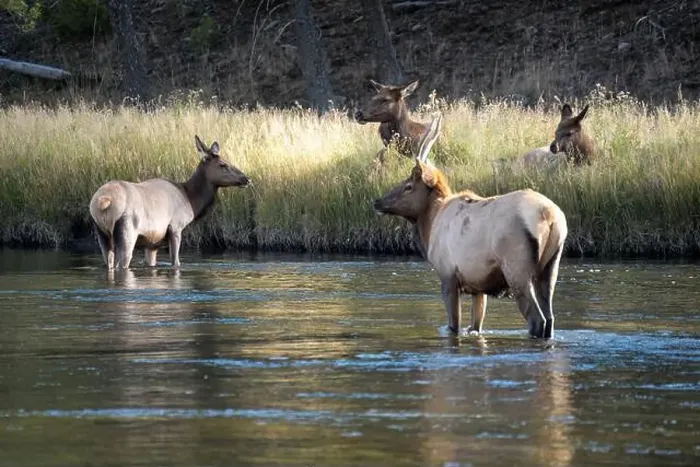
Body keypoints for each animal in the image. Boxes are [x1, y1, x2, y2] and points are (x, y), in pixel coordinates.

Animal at [89, 135, 250, 271]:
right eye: (222, 164)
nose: (246, 178)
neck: (191, 201)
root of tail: (102, 201)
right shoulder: (176, 227)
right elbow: (176, 262)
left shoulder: (153, 242)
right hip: (127, 229)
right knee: (122, 264)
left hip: (101, 233)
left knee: (109, 263)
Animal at [373, 116, 568, 339]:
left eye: (408, 186)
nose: (377, 202)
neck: (430, 226)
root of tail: (550, 217)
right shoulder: (478, 287)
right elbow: (476, 324)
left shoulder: (447, 274)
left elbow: (453, 325)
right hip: (551, 266)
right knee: (550, 318)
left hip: (517, 268)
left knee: (537, 319)